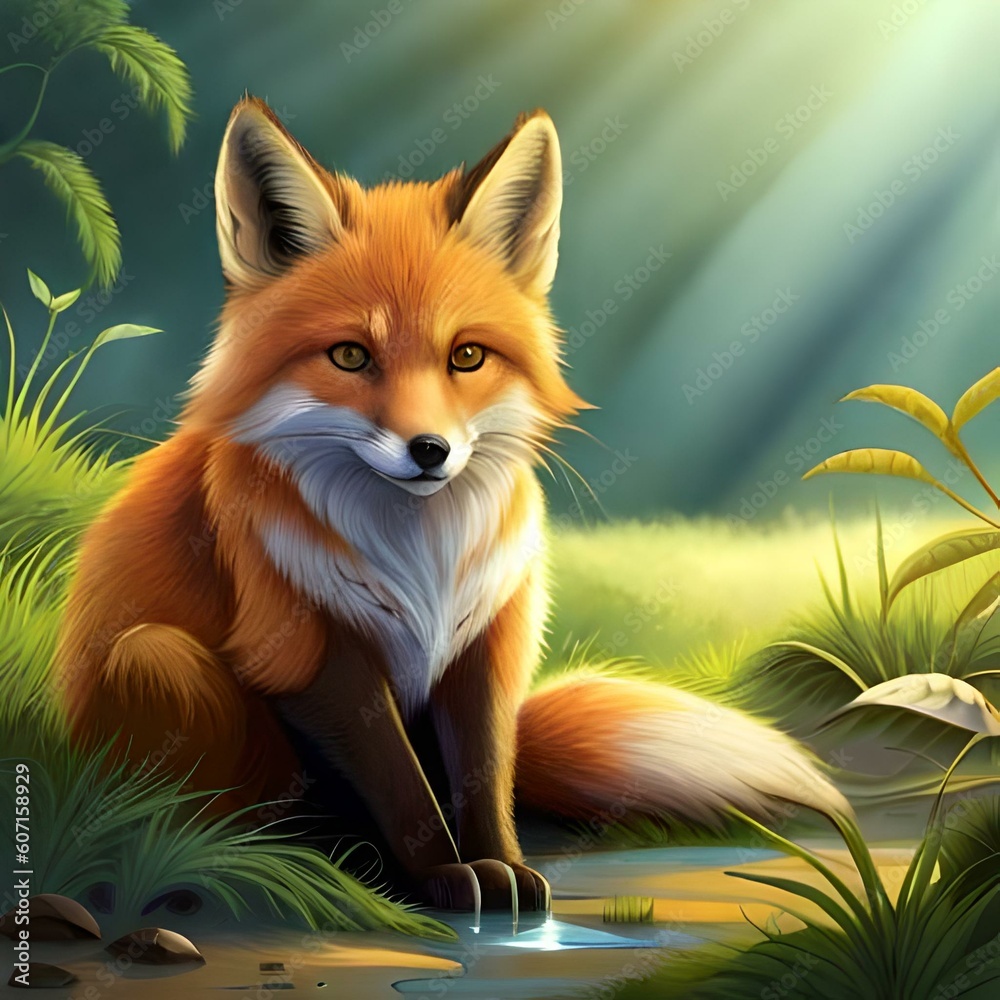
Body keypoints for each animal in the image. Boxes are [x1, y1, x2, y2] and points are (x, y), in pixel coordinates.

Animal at [55, 97, 850, 913]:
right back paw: (307, 856)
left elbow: (484, 776)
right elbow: (403, 785)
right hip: (156, 658)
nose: (429, 450)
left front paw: (504, 868)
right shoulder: (310, 646)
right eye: (350, 356)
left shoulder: (488, 639)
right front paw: (442, 875)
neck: (420, 558)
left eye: (466, 356)